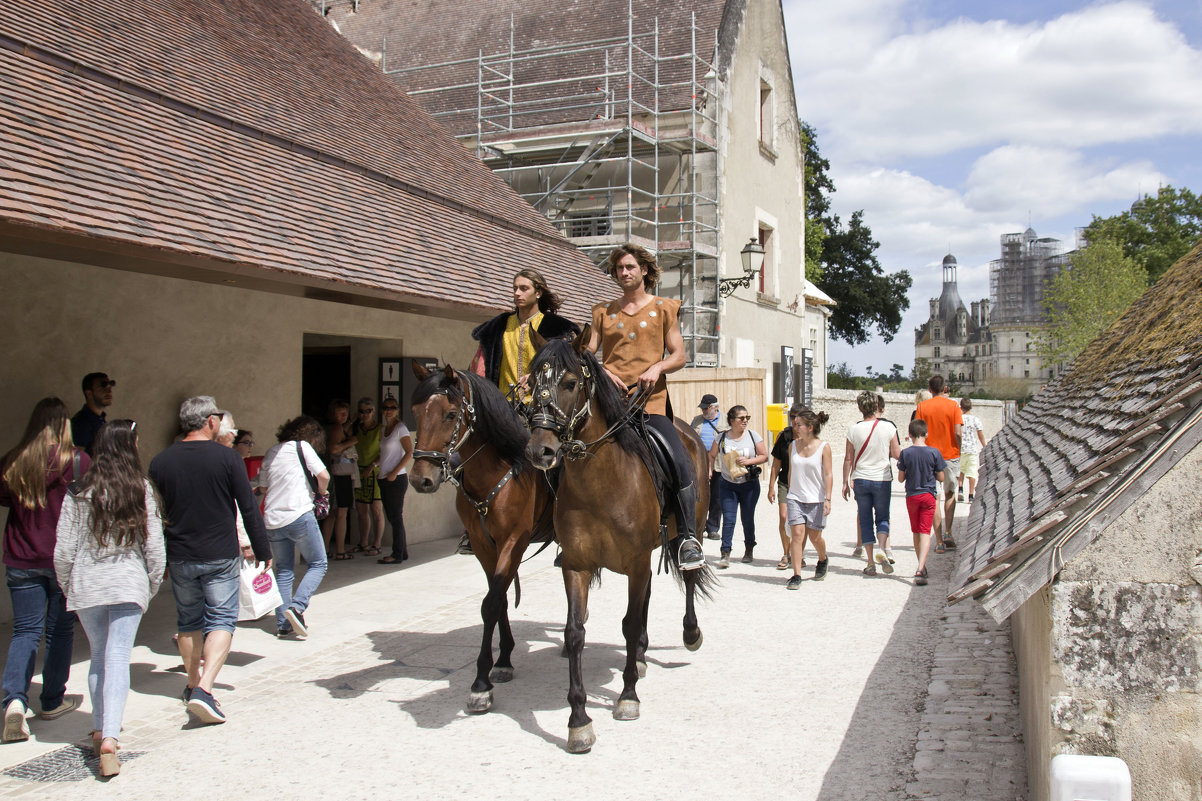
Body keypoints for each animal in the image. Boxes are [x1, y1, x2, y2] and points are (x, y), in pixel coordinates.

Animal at [406, 360, 550, 712]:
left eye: (450, 414)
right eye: (415, 412)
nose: (421, 479)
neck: (497, 469)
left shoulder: (514, 541)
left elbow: (491, 603)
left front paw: (481, 684)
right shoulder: (485, 545)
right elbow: (498, 600)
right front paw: (504, 660)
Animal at [526, 324, 711, 750]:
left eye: (571, 382)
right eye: (532, 382)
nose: (540, 451)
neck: (601, 485)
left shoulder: (636, 563)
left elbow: (628, 624)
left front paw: (627, 698)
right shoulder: (577, 566)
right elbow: (575, 632)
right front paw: (578, 721)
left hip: (689, 530)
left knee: (689, 578)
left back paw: (689, 633)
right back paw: (639, 657)